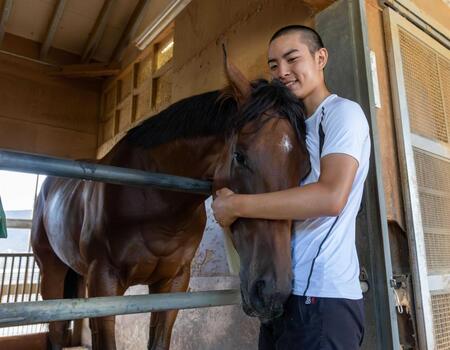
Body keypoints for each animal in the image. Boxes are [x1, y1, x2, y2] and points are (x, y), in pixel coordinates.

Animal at [30, 58, 310, 348]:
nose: (272, 292)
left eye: (305, 168)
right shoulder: (102, 284)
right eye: (239, 156)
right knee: (55, 330)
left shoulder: (173, 284)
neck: (155, 203)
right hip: (51, 272)